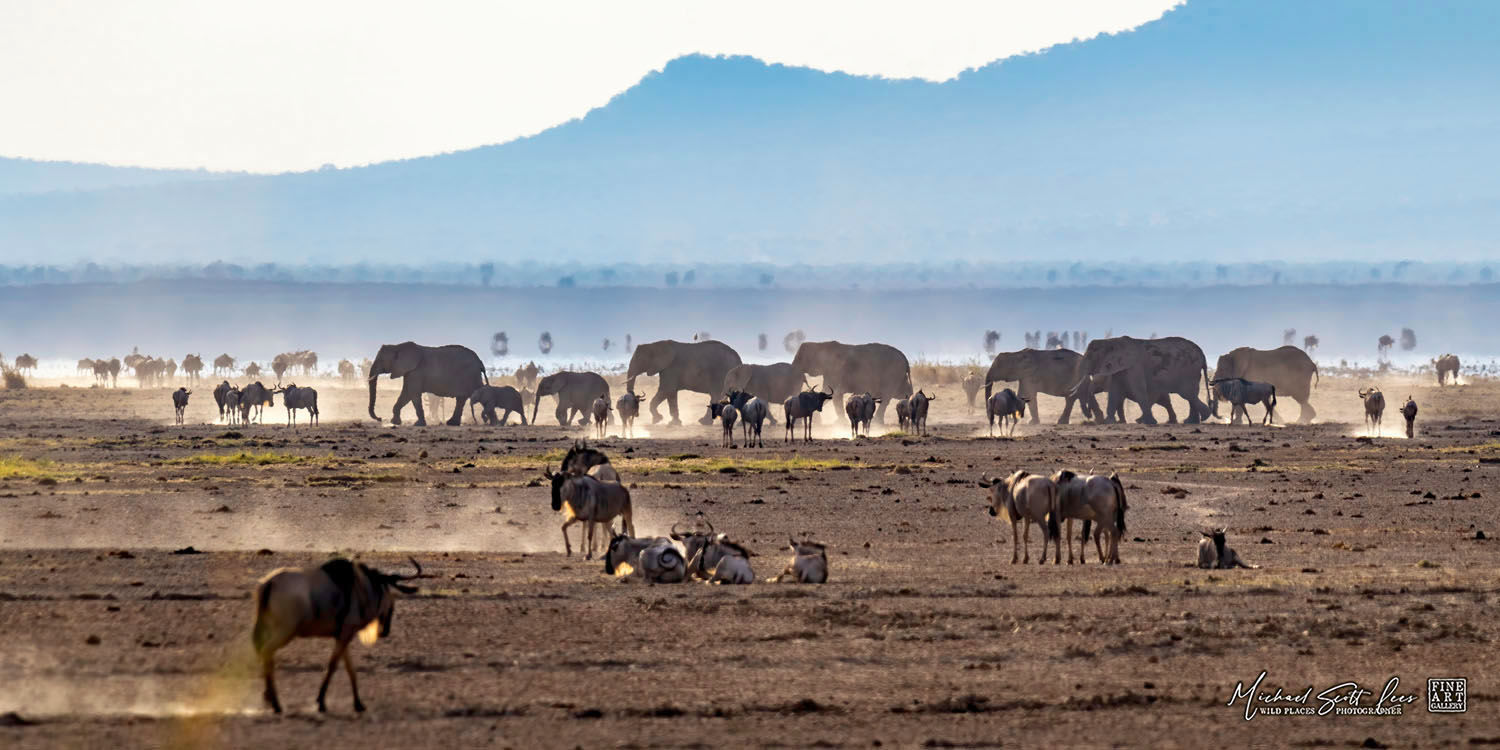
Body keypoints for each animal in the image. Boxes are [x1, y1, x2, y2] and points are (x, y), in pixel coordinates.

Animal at [1068, 336, 1210, 425]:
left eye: (1090, 356)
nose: (1090, 417)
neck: (1111, 340)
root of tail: (1202, 354)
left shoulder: (1134, 366)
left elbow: (1138, 390)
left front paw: (1150, 423)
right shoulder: (1120, 369)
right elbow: (1115, 393)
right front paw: (1109, 422)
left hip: (1190, 370)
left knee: (1188, 394)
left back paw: (1203, 417)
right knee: (1190, 396)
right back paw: (1191, 421)